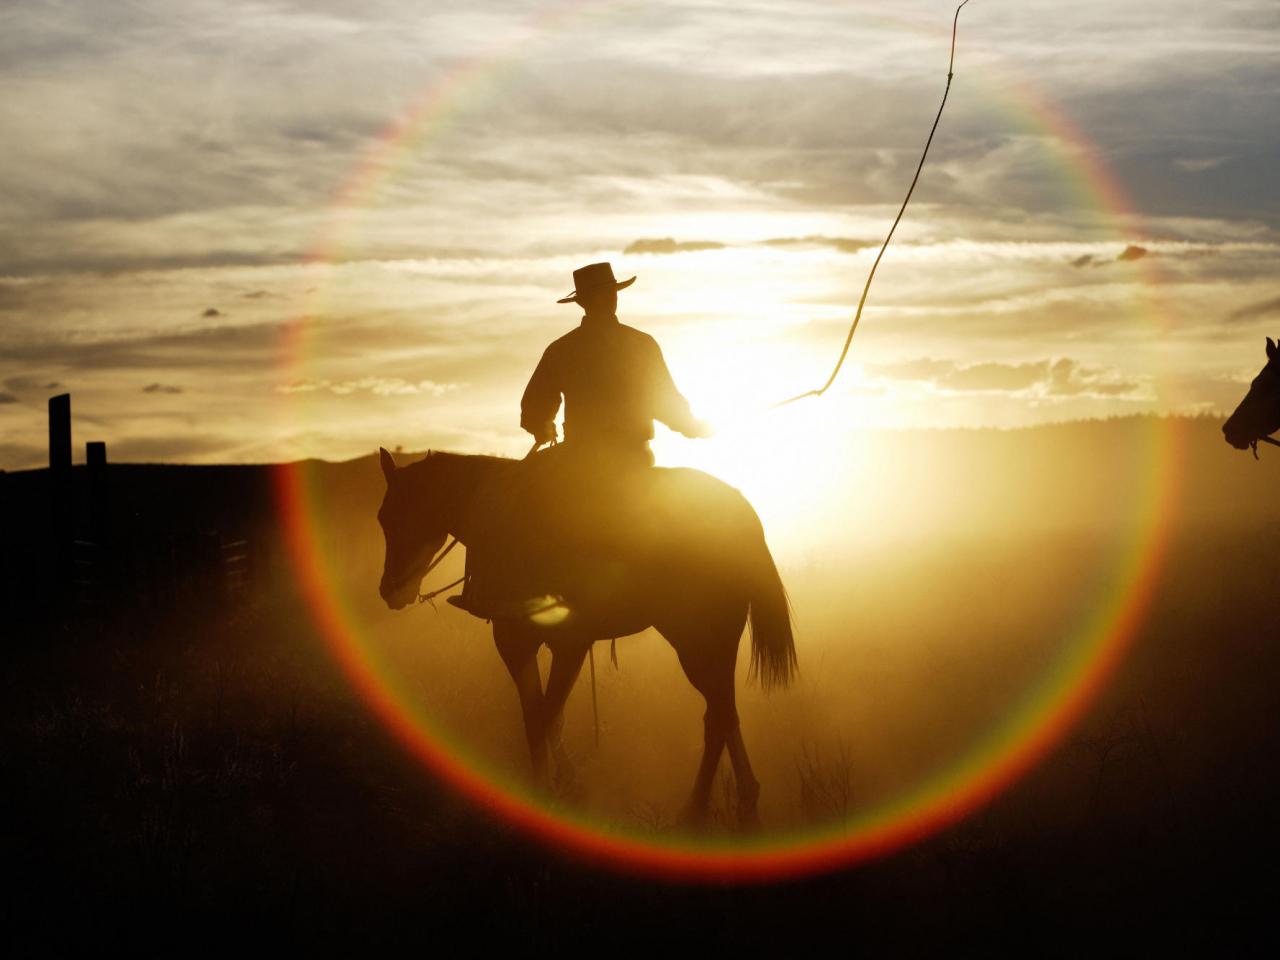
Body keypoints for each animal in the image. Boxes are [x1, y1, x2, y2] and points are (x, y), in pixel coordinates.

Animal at [371, 445, 793, 829]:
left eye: (404, 513)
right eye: (382, 518)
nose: (390, 591)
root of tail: (742, 512)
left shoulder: (569, 644)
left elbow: (544, 717)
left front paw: (547, 793)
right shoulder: (515, 643)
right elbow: (540, 716)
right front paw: (565, 784)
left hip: (698, 641)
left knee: (718, 717)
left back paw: (695, 811)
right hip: (712, 644)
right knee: (725, 712)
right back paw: (745, 800)